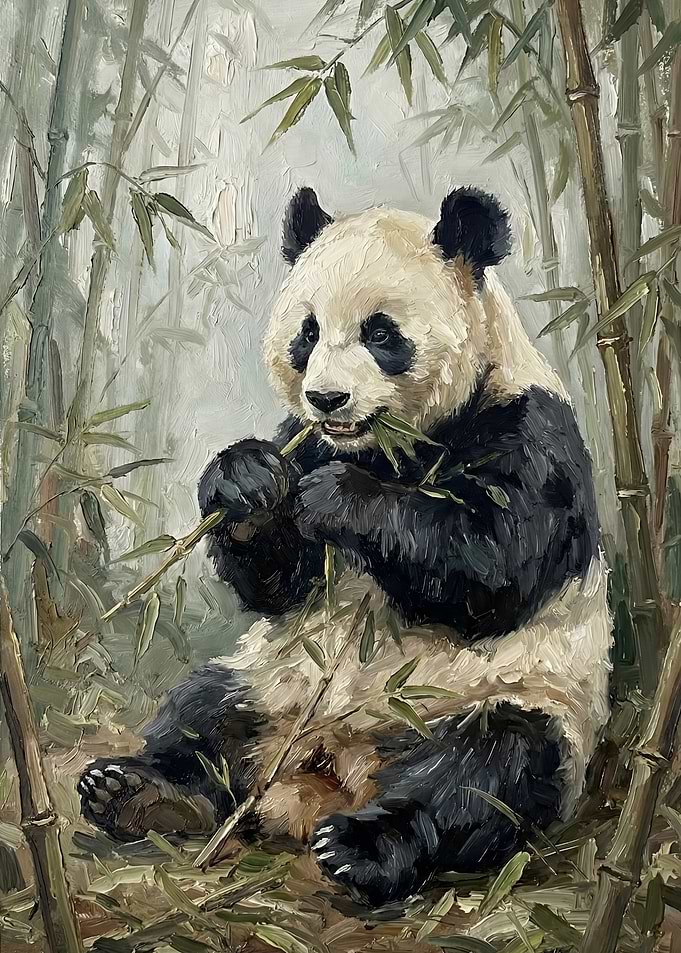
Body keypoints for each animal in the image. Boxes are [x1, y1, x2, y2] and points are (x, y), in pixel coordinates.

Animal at [79, 186, 611, 908]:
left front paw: (340, 497)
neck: (382, 446)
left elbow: (493, 567)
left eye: (380, 333)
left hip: (511, 702)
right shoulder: (300, 437)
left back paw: (365, 846)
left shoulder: (529, 431)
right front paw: (247, 480)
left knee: (487, 771)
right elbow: (279, 583)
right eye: (307, 333)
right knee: (204, 713)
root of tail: (329, 775)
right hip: (271, 681)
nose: (327, 397)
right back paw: (137, 792)